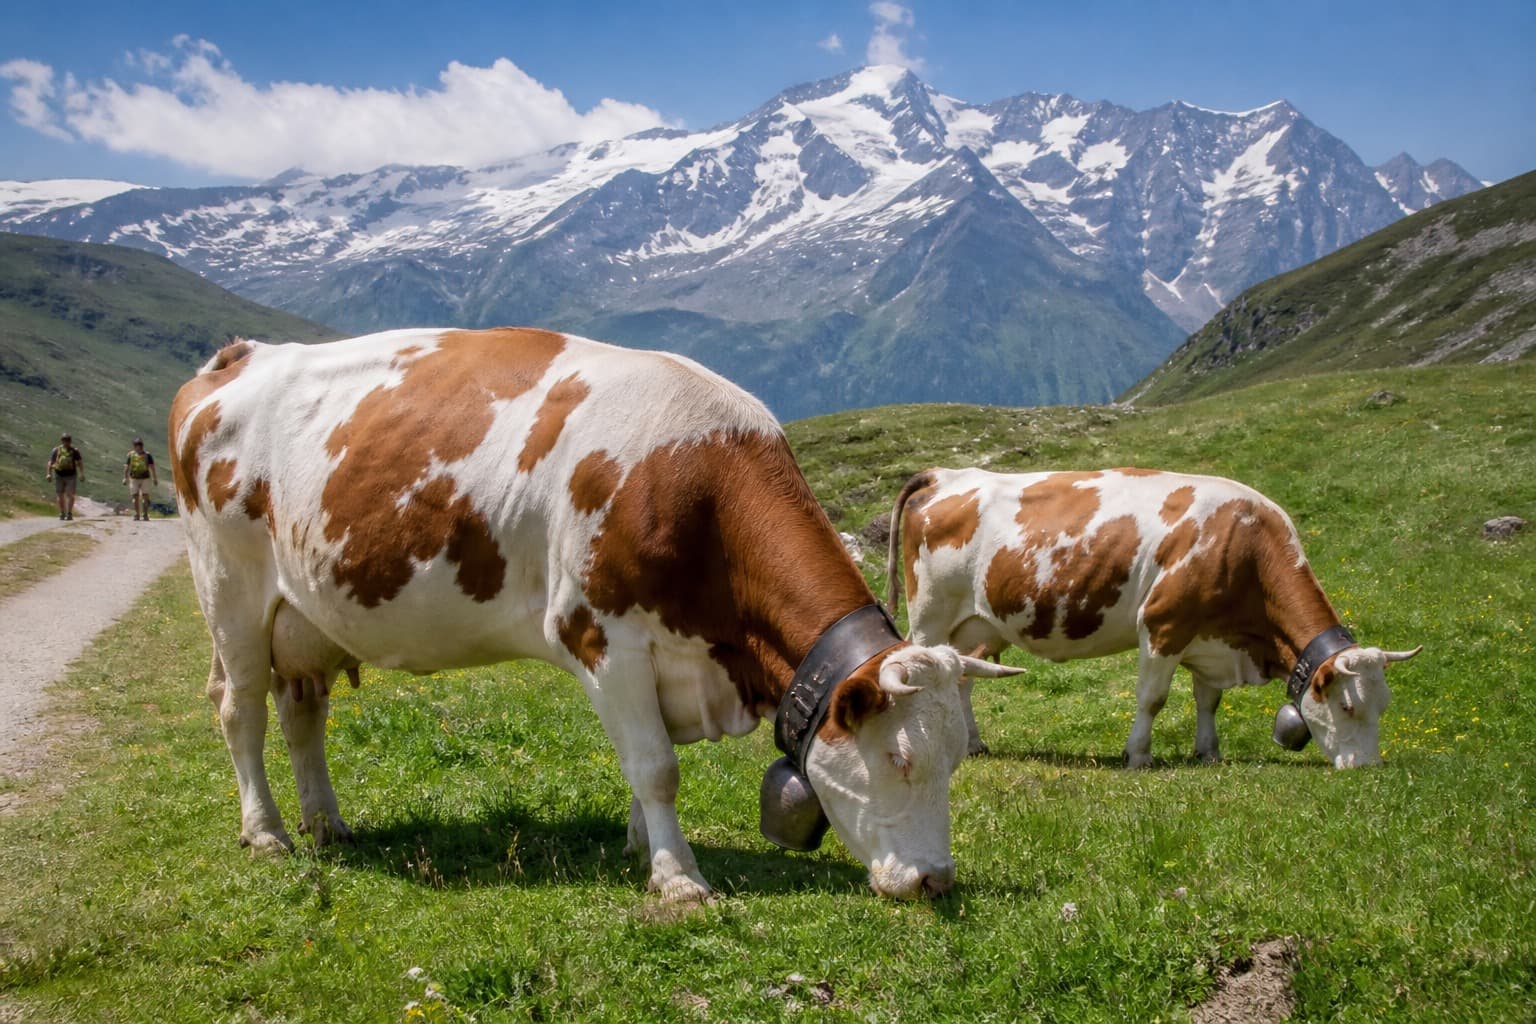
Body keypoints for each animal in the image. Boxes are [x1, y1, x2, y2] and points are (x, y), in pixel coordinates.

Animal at [169, 328, 1019, 902]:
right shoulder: (603, 638)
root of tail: (240, 355)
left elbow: (645, 769)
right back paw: (268, 833)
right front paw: (678, 880)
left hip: (302, 615)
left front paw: (643, 848)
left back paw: (326, 823)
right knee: (241, 710)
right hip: (228, 589)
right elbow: (657, 767)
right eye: (899, 759)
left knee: (301, 712)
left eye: (955, 759)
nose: (936, 881)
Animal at [886, 467, 1422, 768]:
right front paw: (1138, 755)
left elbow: (1208, 700)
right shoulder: (1164, 624)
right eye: (1348, 706)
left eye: (1385, 705)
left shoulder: (1207, 634)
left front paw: (1209, 752)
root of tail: (946, 473)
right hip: (931, 616)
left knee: (962, 679)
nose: (1367, 767)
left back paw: (972, 745)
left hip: (975, 626)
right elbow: (1153, 699)